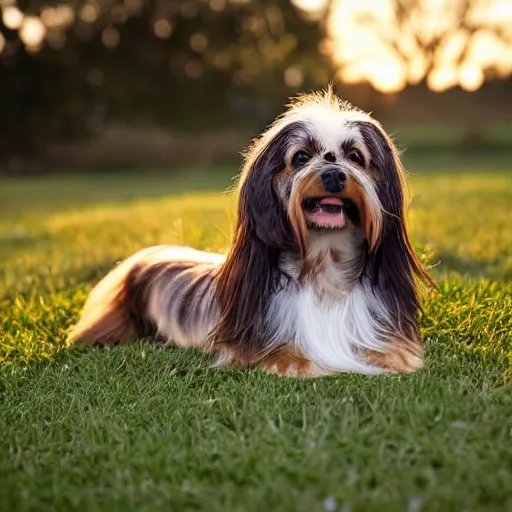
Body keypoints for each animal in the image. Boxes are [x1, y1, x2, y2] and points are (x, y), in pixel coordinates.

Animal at [68, 87, 432, 376]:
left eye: (355, 157)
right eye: (301, 157)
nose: (333, 175)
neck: (323, 264)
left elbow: (386, 347)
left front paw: (391, 358)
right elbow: (282, 351)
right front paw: (298, 364)